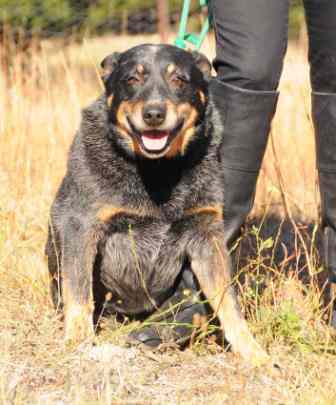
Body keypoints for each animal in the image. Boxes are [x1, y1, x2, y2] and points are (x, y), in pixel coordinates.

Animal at [46, 42, 270, 364]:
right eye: (131, 79)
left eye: (179, 79)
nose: (154, 113)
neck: (158, 170)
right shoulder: (80, 225)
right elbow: (78, 292)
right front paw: (77, 341)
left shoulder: (206, 233)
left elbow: (228, 301)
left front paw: (255, 353)